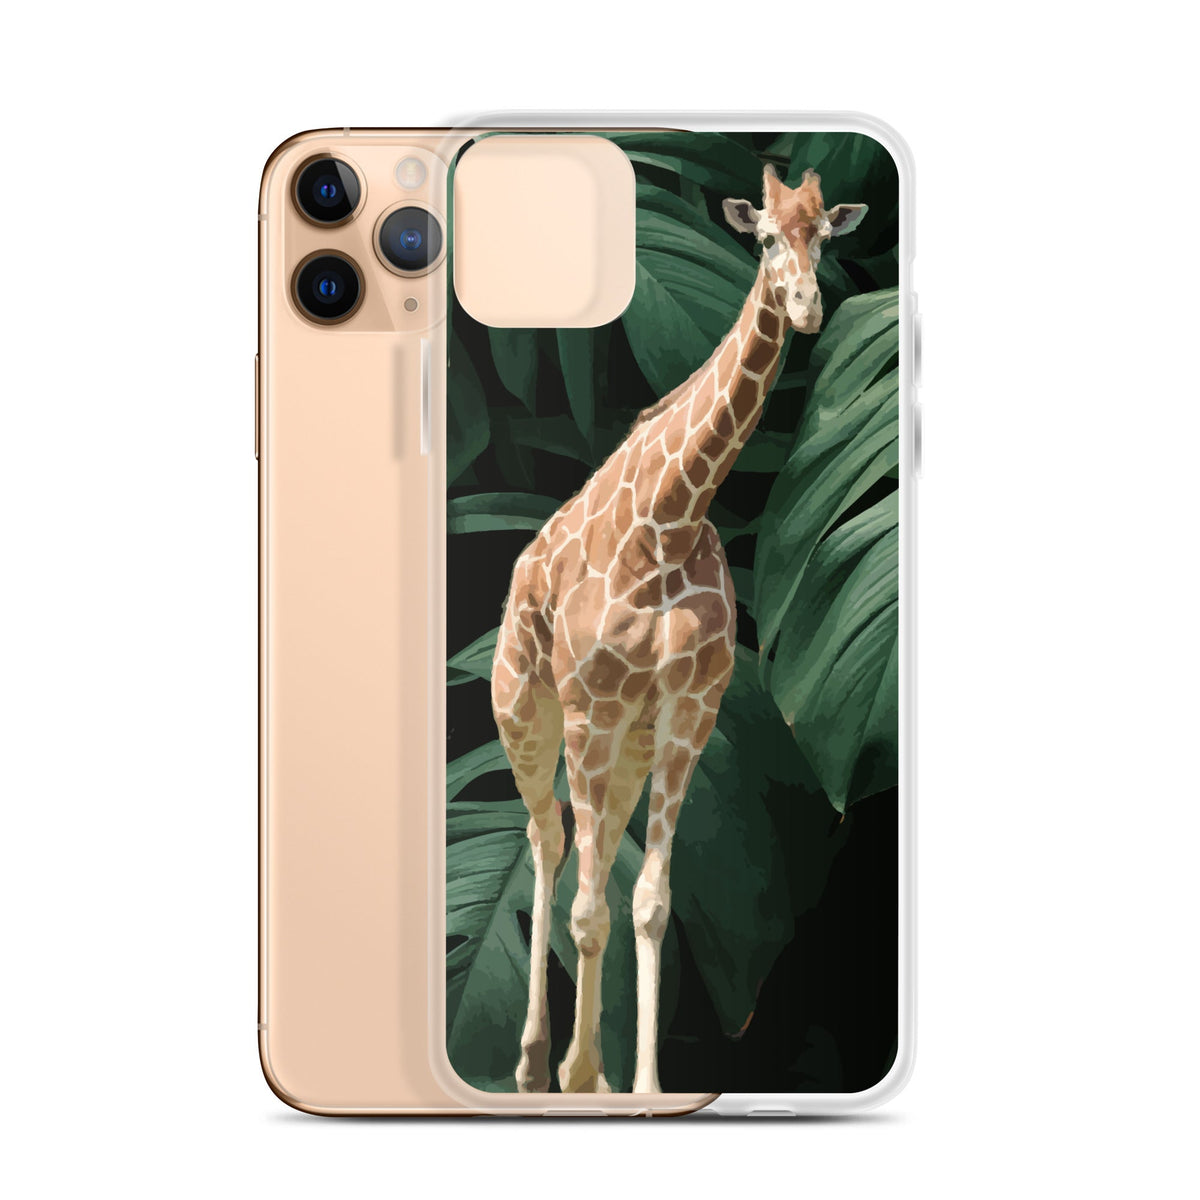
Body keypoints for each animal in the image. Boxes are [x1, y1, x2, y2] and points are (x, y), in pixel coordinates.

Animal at [490, 165, 867, 1094]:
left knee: (582, 850)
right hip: (525, 709)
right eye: (762, 238)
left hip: (625, 742)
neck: (668, 520)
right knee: (547, 837)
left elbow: (651, 903)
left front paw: (637, 1087)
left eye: (824, 237)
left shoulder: (689, 716)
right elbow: (590, 909)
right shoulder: (588, 710)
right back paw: (533, 1066)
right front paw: (582, 1076)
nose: (807, 306)